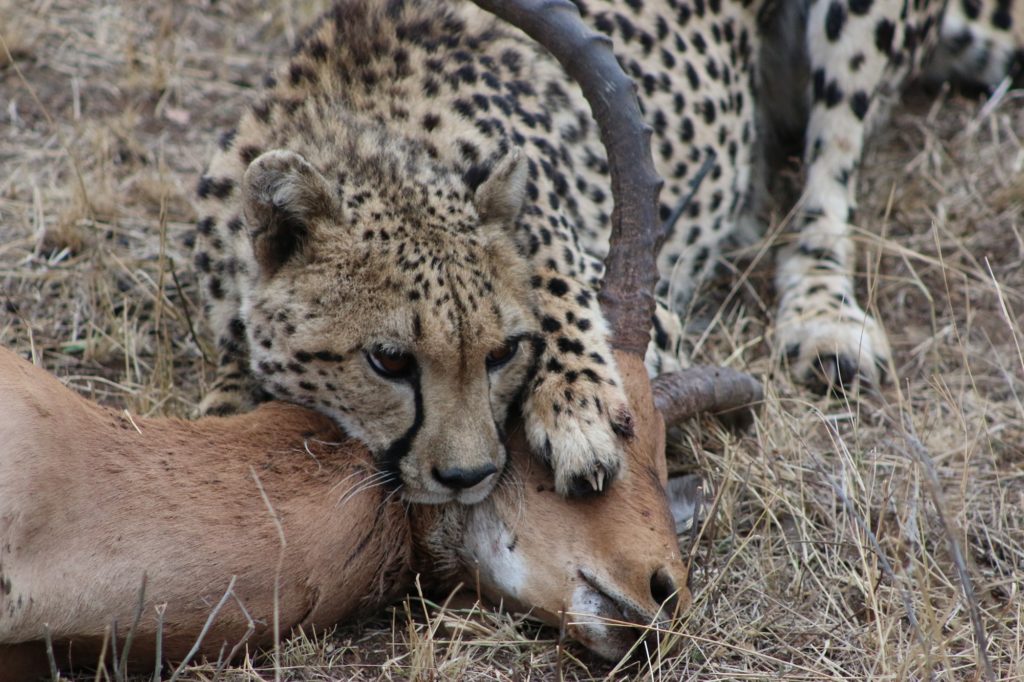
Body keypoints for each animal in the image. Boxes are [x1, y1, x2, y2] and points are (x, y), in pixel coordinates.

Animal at [190, 0, 1015, 499]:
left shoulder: (644, 303)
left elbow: (573, 308)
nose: (468, 475)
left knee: (830, 174)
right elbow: (227, 392)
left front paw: (575, 410)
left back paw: (824, 316)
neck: (360, 137)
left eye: (502, 354)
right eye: (388, 360)